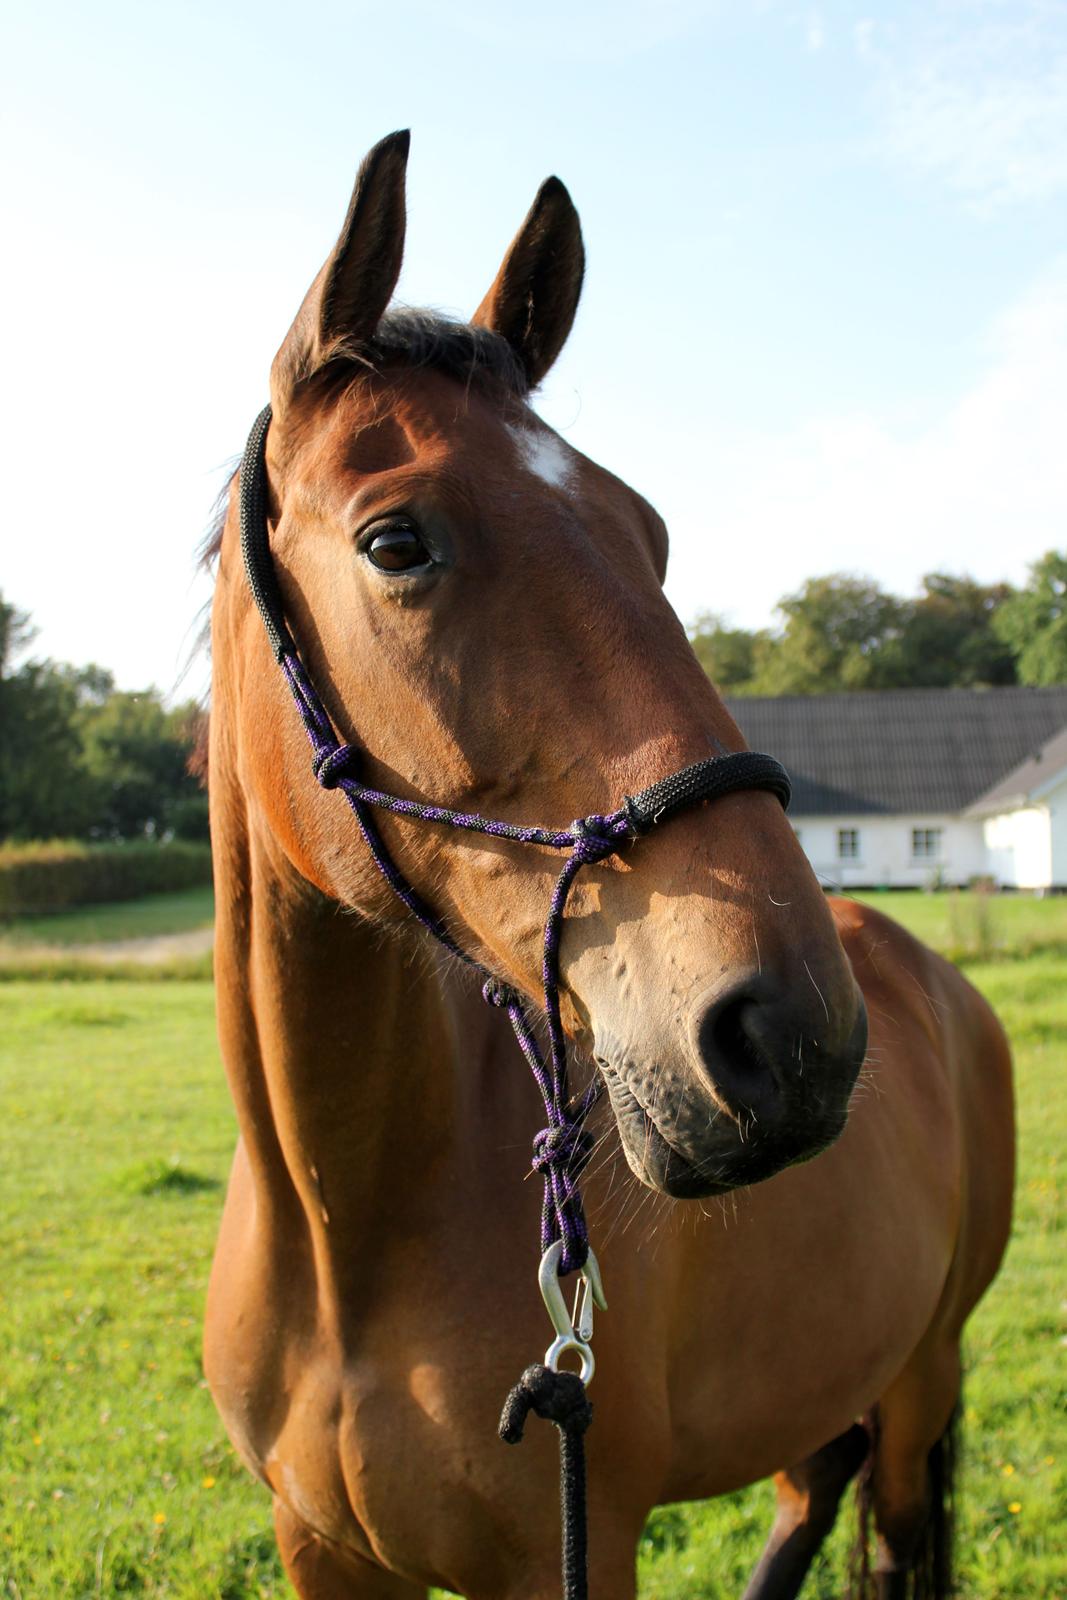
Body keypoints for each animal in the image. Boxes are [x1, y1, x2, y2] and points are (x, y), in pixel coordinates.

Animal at [204, 137, 1017, 1600]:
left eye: (649, 532)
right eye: (396, 540)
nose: (789, 1034)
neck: (350, 1233)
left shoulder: (569, 1552)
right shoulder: (320, 1551)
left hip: (921, 1374)